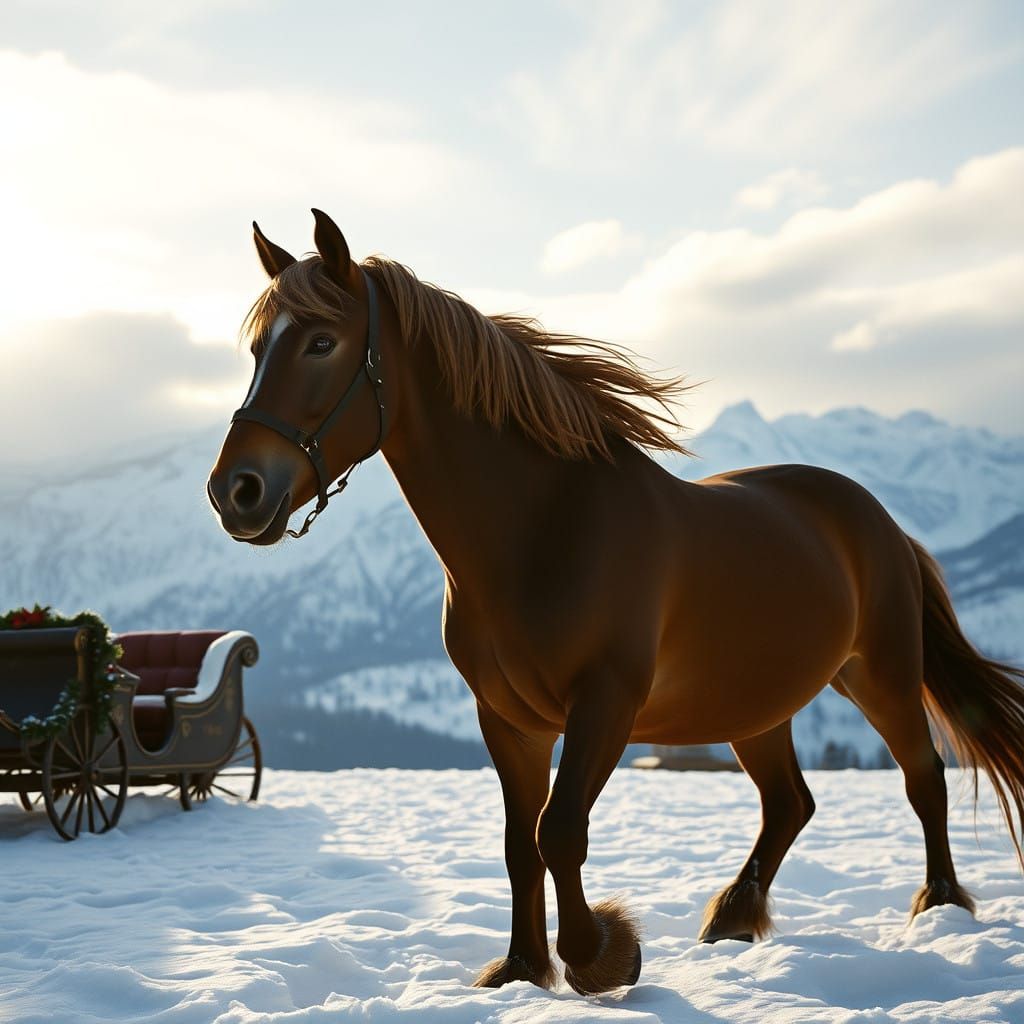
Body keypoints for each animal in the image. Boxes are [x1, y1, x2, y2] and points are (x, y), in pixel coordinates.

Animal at [207, 209, 1024, 995]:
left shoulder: (606, 700)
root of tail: (881, 521)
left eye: (321, 342)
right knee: (790, 802)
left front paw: (601, 956)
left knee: (923, 779)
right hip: (756, 704)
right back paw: (734, 918)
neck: (542, 530)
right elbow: (519, 842)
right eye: (256, 350)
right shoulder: (507, 717)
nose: (235, 491)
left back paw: (939, 909)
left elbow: (559, 829)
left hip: (880, 674)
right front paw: (521, 969)